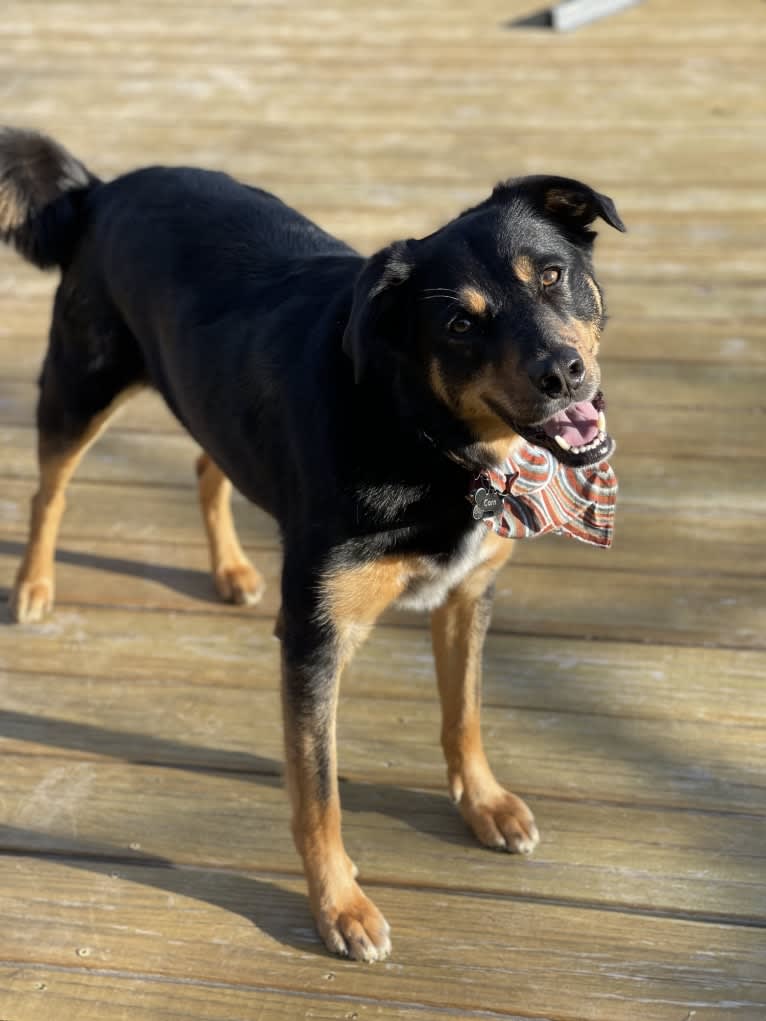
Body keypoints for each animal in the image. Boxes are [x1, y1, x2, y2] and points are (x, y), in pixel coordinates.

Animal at [0, 127, 625, 955]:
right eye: (460, 325)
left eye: (553, 274)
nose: (563, 373)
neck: (419, 427)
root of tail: (100, 189)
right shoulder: (314, 640)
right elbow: (317, 788)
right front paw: (340, 906)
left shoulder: (467, 594)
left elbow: (464, 712)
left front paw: (483, 802)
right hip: (79, 386)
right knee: (51, 489)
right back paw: (34, 585)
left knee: (207, 464)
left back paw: (232, 568)